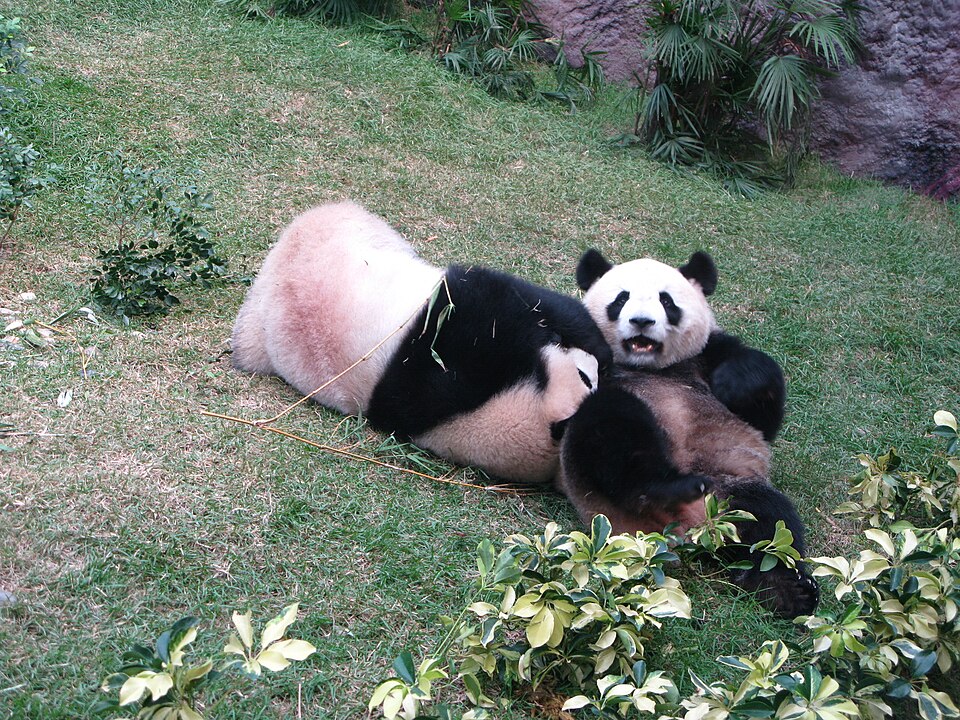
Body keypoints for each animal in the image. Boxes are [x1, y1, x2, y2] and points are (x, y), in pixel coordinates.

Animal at [231, 201, 612, 483]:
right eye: (583, 378)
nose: (596, 370)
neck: (464, 417)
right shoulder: (455, 349)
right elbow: (517, 301)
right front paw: (592, 347)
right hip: (350, 233)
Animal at [555, 248, 819, 618]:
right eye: (621, 299)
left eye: (666, 301)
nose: (641, 322)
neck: (650, 368)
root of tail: (692, 525)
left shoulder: (707, 352)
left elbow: (763, 408)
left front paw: (731, 384)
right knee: (612, 428)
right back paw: (662, 488)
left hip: (732, 489)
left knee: (772, 524)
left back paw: (787, 591)